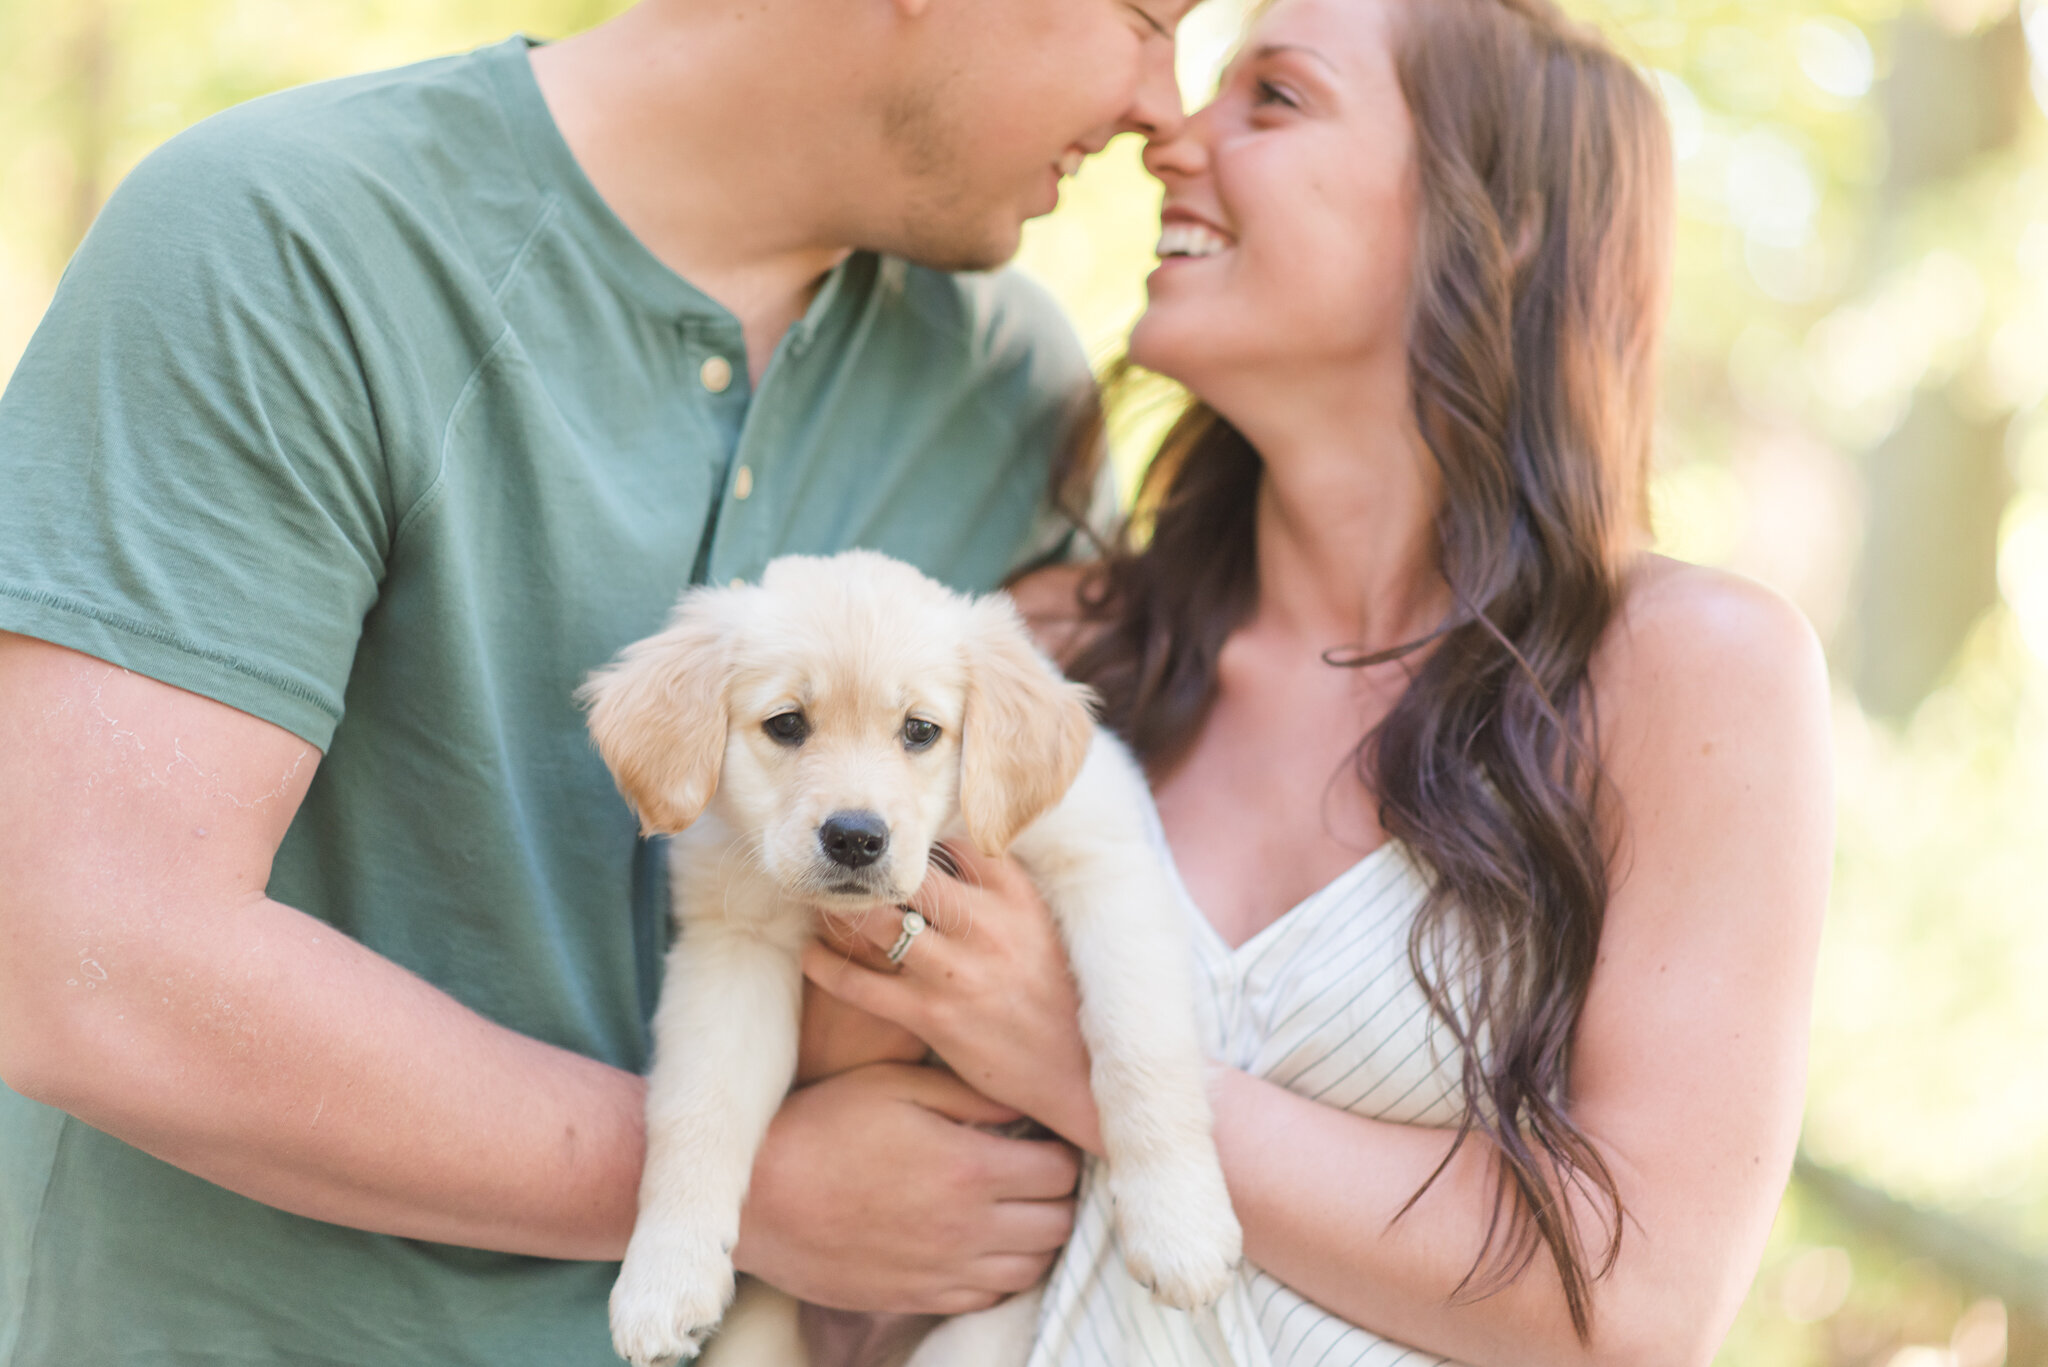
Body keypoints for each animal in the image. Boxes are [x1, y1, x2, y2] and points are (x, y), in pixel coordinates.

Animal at [585, 553, 1236, 1367]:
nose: (854, 837)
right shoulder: (731, 947)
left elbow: (1140, 1051)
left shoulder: (1105, 867)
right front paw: (665, 1276)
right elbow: (698, 1108)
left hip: (978, 1336)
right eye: (787, 724)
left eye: (920, 731)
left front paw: (1181, 1224)